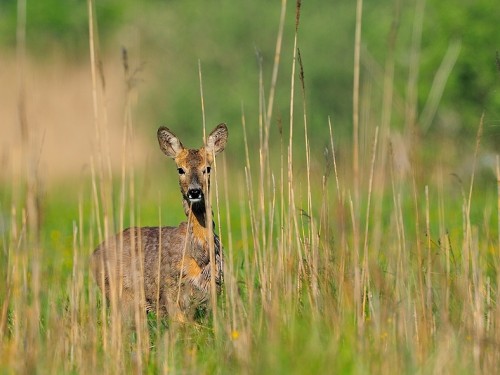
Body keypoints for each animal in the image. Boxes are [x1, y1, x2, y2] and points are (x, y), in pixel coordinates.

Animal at [91, 124, 228, 324]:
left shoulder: (214, 287)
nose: (194, 191)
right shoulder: (169, 290)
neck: (199, 253)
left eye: (208, 168)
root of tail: (93, 255)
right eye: (180, 169)